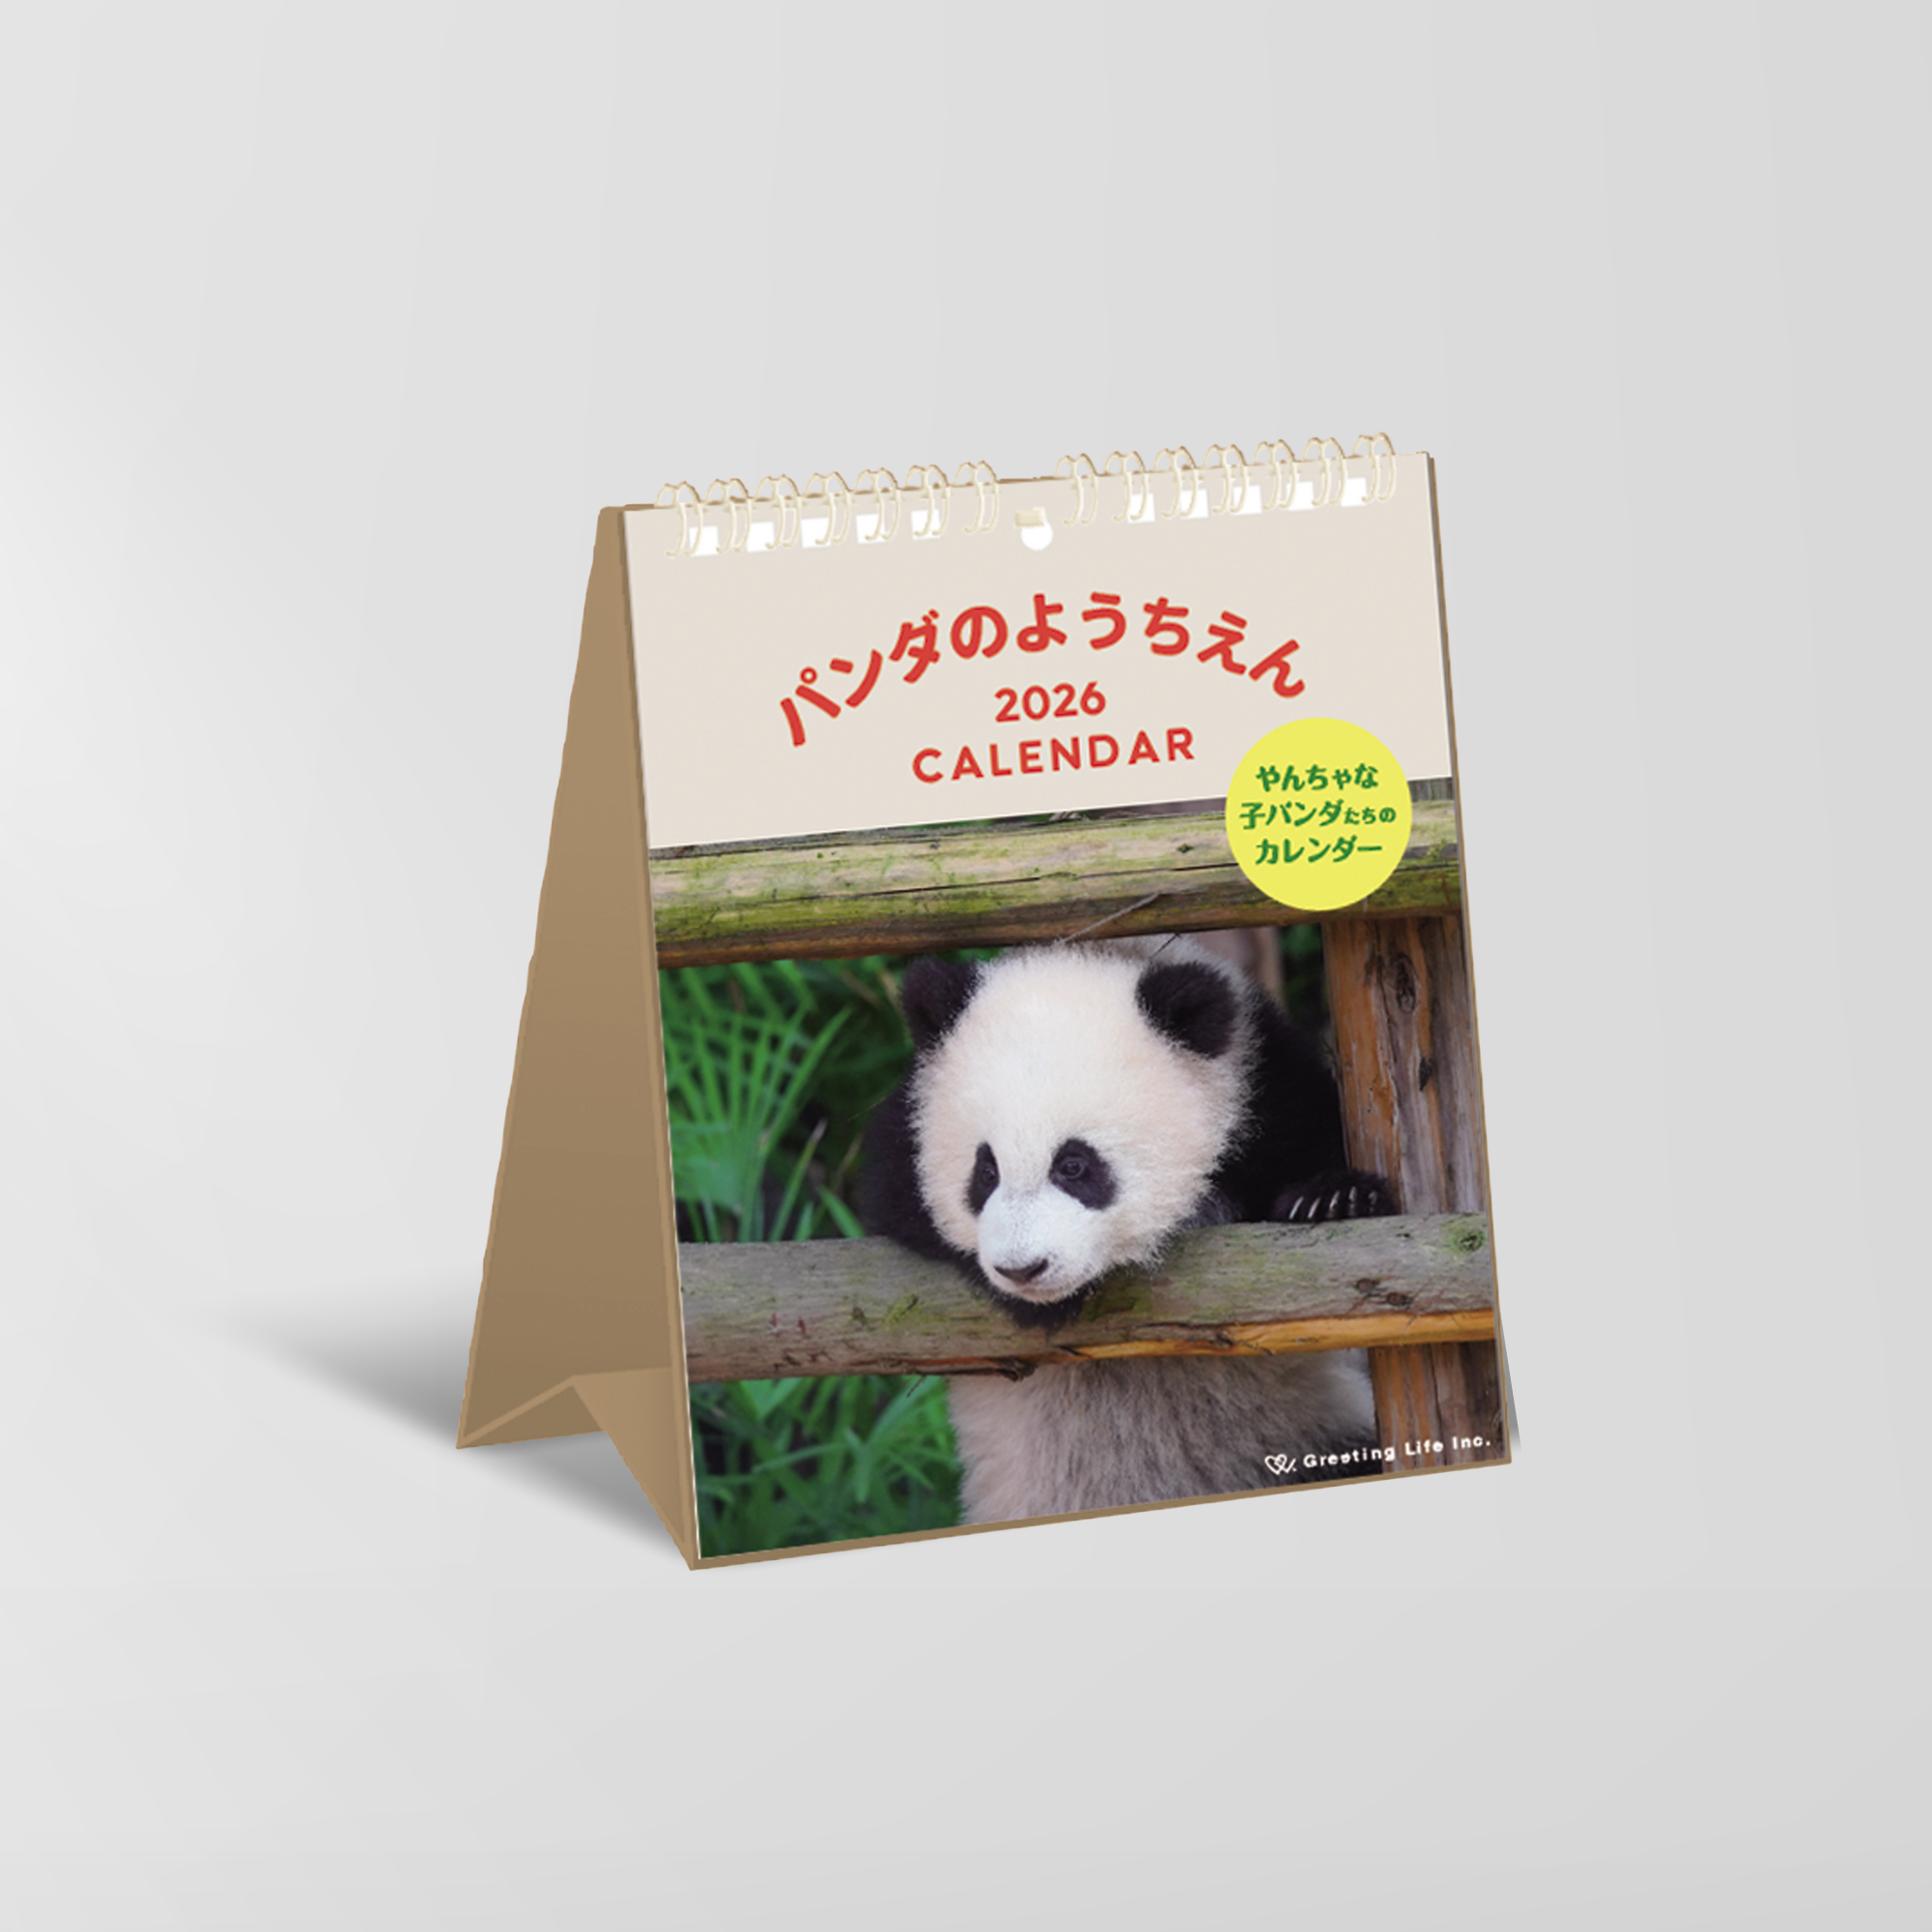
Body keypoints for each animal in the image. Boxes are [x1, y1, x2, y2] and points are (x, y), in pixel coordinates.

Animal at [861, 934, 1395, 1525]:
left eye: (1074, 1165)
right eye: (986, 1171)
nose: (1024, 1269)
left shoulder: (1264, 1084)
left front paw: (1334, 1197)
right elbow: (891, 1197)